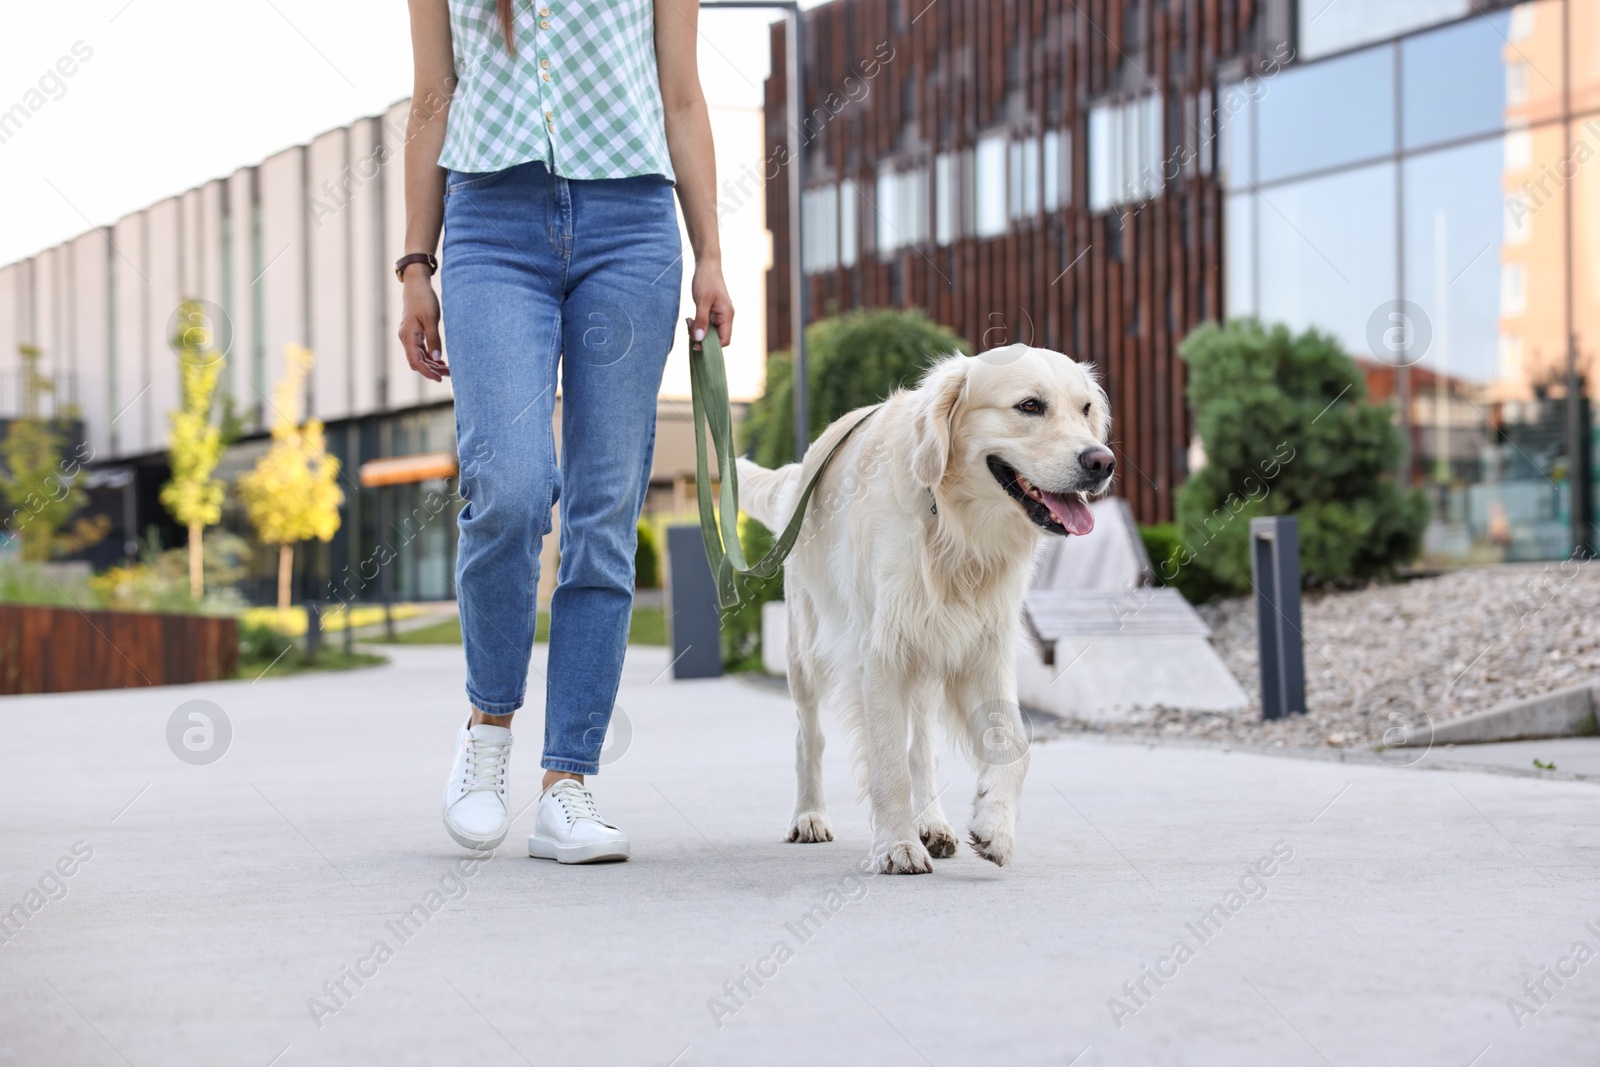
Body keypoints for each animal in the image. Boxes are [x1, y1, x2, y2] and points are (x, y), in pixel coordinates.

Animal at [736, 347, 1113, 870]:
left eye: (1084, 409)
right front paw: (896, 845)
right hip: (804, 648)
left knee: (923, 750)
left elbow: (1015, 744)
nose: (1103, 462)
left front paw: (994, 825)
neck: (956, 529)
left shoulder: (984, 648)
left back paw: (932, 823)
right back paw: (809, 815)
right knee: (808, 735)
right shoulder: (882, 653)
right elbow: (888, 760)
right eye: (1029, 406)